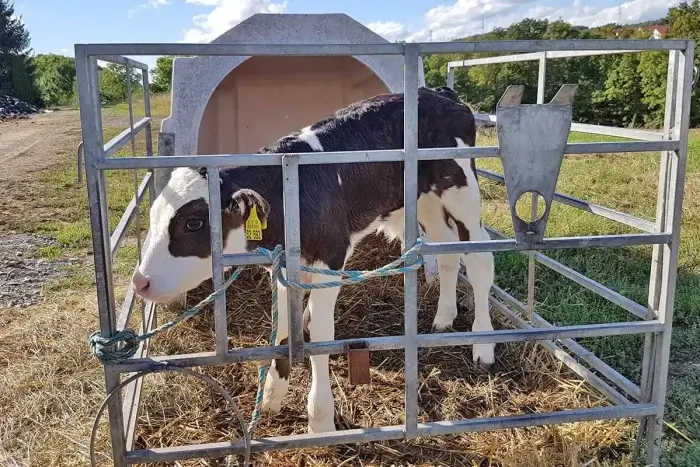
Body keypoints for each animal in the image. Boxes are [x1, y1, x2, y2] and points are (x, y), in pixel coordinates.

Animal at [131, 87, 492, 436]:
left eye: (194, 223)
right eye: (154, 215)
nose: (140, 282)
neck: (291, 191)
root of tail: (439, 92)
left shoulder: (330, 256)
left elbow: (318, 332)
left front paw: (320, 418)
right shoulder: (284, 266)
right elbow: (283, 328)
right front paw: (273, 395)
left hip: (461, 189)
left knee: (479, 257)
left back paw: (483, 344)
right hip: (424, 200)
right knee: (446, 250)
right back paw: (444, 317)